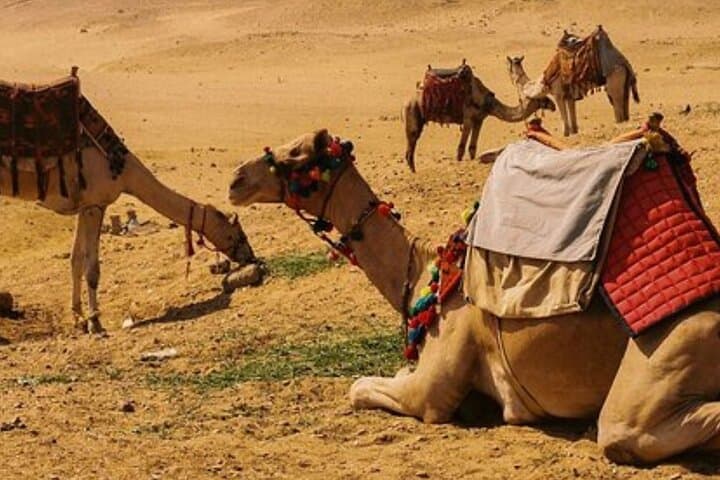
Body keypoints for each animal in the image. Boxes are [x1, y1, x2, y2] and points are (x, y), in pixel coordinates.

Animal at [0, 74, 257, 333]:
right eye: (237, 235)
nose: (250, 256)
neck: (124, 170)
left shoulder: (85, 205)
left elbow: (75, 260)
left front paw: (79, 318)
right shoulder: (95, 204)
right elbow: (92, 268)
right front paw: (95, 322)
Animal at [229, 129, 720, 465]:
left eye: (296, 155)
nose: (236, 179)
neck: (423, 275)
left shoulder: (433, 388)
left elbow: (360, 388)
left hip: (669, 351)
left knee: (628, 431)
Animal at [403, 61, 555, 172]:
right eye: (544, 98)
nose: (554, 106)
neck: (488, 102)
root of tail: (408, 101)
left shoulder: (479, 119)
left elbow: (472, 148)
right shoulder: (468, 118)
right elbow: (460, 148)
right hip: (412, 112)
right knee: (411, 145)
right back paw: (413, 172)